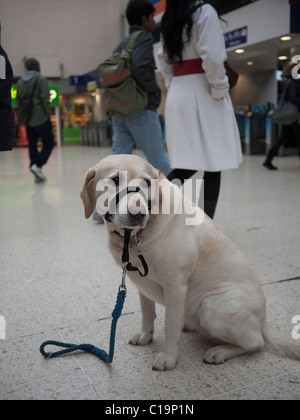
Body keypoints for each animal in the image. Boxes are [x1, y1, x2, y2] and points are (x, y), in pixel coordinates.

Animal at [80, 154, 300, 370]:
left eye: (147, 182)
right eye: (115, 179)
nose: (139, 213)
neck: (135, 237)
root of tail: (263, 321)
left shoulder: (175, 287)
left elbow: (170, 326)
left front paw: (169, 357)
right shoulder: (143, 286)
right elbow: (147, 313)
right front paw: (146, 336)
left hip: (210, 305)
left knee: (256, 343)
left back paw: (219, 352)